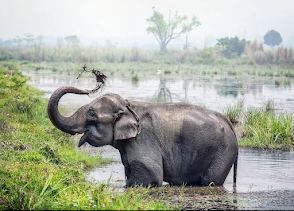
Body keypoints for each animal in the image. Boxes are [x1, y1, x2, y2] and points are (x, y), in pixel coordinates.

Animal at [47, 86, 238, 187]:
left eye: (92, 114)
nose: (90, 89)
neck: (129, 105)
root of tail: (229, 123)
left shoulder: (143, 138)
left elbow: (151, 177)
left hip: (223, 152)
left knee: (210, 182)